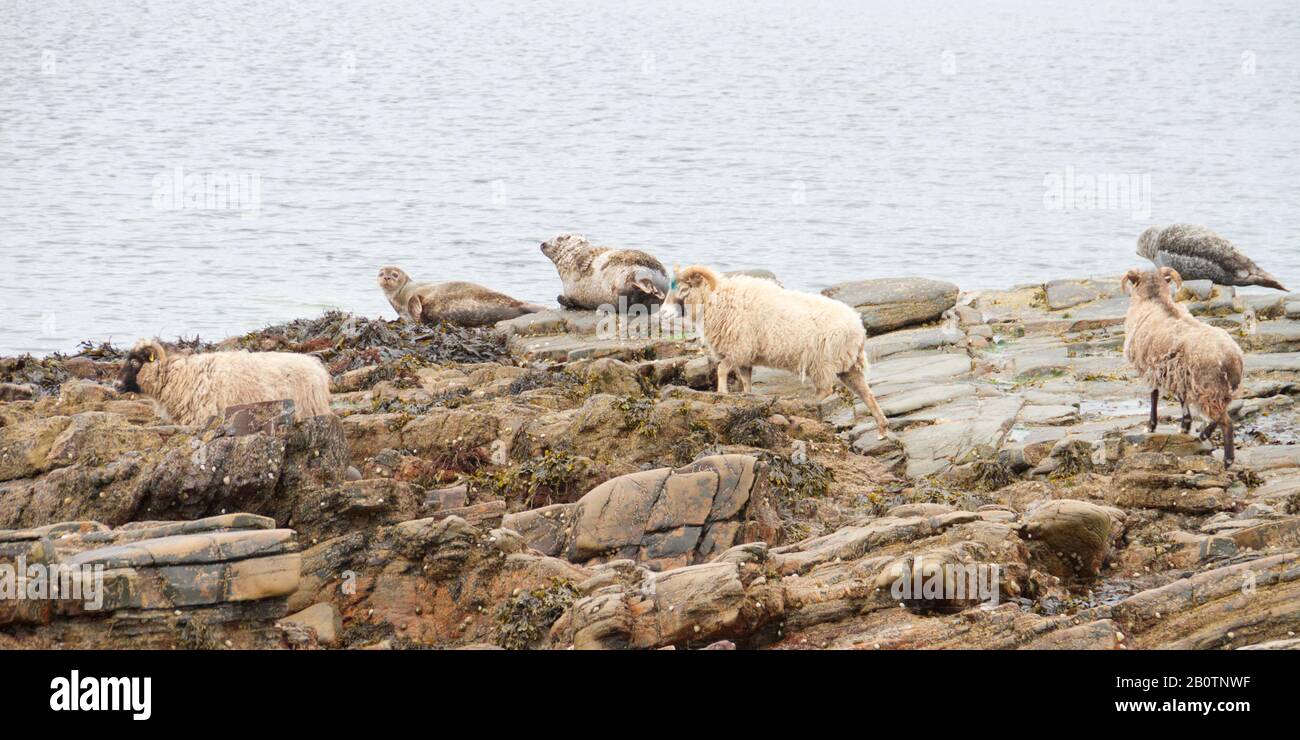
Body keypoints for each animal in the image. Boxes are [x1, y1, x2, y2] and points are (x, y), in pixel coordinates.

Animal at [665, 265, 889, 436]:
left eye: (683, 289)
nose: (664, 313)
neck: (716, 299)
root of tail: (859, 328)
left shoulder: (739, 349)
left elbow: (721, 369)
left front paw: (722, 393)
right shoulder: (745, 357)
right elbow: (746, 381)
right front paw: (745, 397)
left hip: (822, 362)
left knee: (826, 390)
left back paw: (805, 405)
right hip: (847, 366)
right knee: (866, 393)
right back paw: (882, 429)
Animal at [1123, 265, 1242, 462]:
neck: (1154, 300)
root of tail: (1231, 356)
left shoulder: (1150, 369)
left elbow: (1154, 395)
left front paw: (1151, 425)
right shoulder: (1176, 372)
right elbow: (1181, 397)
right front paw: (1185, 425)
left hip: (1208, 385)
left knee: (1225, 420)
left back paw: (1227, 458)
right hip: (1220, 388)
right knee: (1222, 414)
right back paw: (1204, 435)